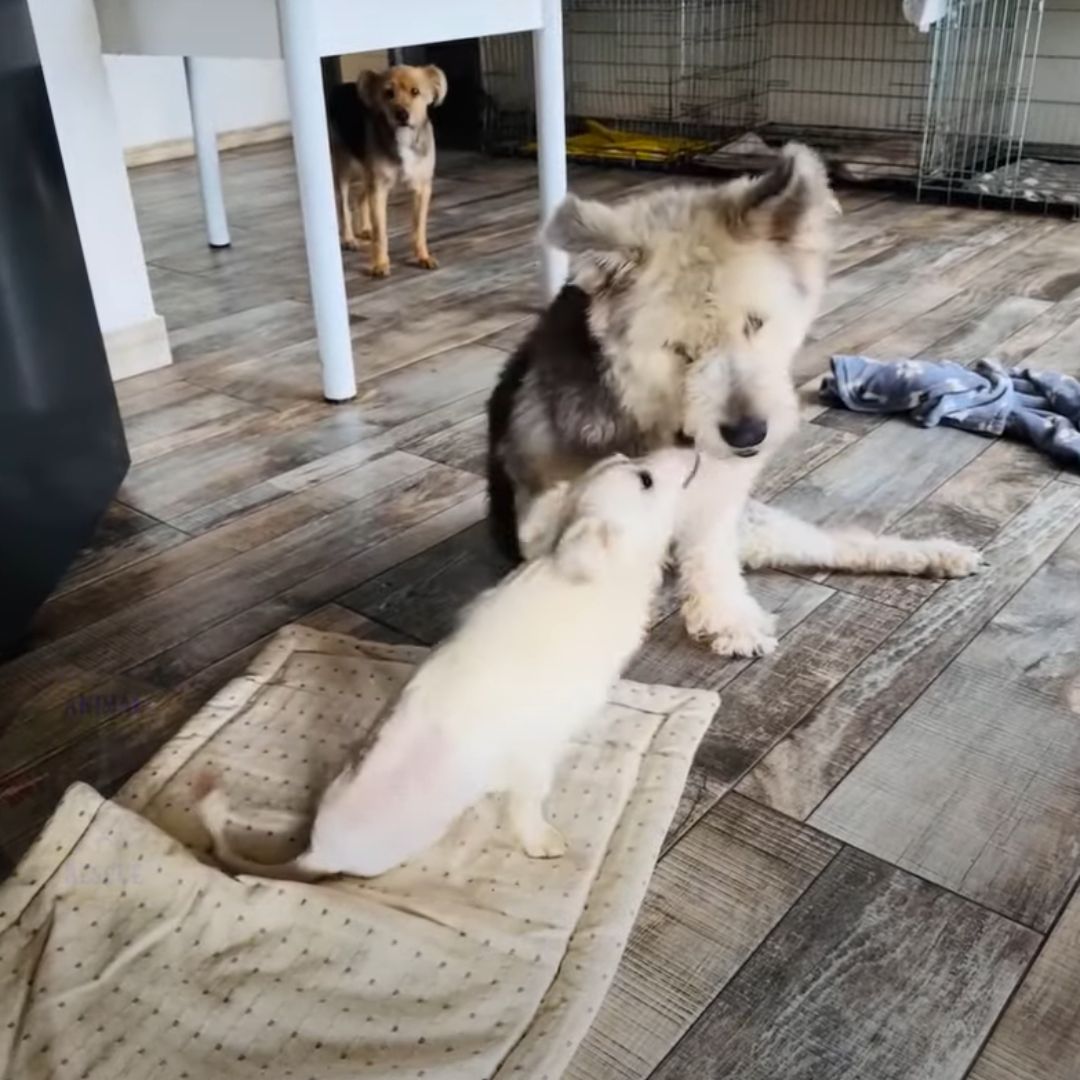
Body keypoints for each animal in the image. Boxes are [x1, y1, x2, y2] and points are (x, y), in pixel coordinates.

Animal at [196, 447, 699, 876]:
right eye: (645, 479)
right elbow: (529, 802)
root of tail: (315, 854)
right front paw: (540, 841)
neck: (584, 581)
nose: (693, 446)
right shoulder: (536, 750)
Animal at [326, 65, 449, 276]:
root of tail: (337, 88)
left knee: (359, 198)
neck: (403, 137)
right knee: (344, 207)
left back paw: (365, 228)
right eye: (388, 93)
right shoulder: (379, 189)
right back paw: (349, 239)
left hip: (367, 172)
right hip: (344, 168)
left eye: (415, 91)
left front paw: (423, 257)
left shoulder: (422, 189)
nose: (402, 114)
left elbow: (419, 229)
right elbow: (381, 233)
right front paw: (380, 264)